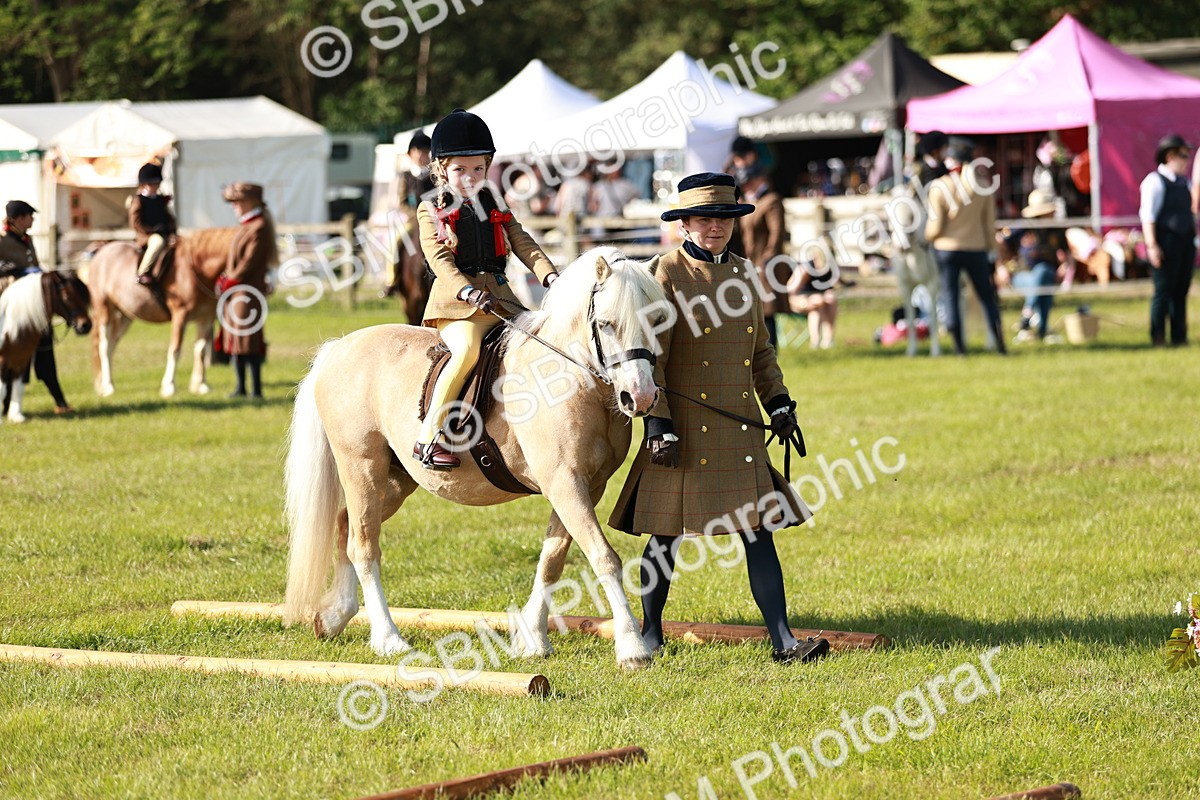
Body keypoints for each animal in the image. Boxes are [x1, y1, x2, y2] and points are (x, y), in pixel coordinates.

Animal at [0, 270, 93, 422]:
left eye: (83, 297)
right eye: (67, 297)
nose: (85, 326)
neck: (10, 325)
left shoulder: (21, 360)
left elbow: (17, 387)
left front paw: (17, 416)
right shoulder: (3, 360)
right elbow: (2, 389)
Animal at [85, 228, 239, 397]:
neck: (198, 268)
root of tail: (101, 252)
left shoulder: (205, 318)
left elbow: (201, 350)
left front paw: (201, 385)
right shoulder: (180, 315)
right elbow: (175, 350)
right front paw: (169, 386)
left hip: (125, 316)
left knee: (112, 345)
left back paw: (109, 383)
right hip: (104, 310)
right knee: (104, 346)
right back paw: (108, 386)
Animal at [283, 246, 666, 670]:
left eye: (658, 320)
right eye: (606, 323)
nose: (641, 397)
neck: (570, 378)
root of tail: (339, 348)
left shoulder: (585, 487)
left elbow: (552, 559)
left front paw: (532, 639)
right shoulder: (565, 483)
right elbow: (604, 558)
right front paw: (633, 648)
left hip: (394, 481)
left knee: (346, 529)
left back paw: (335, 617)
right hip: (361, 467)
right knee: (364, 546)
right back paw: (388, 639)